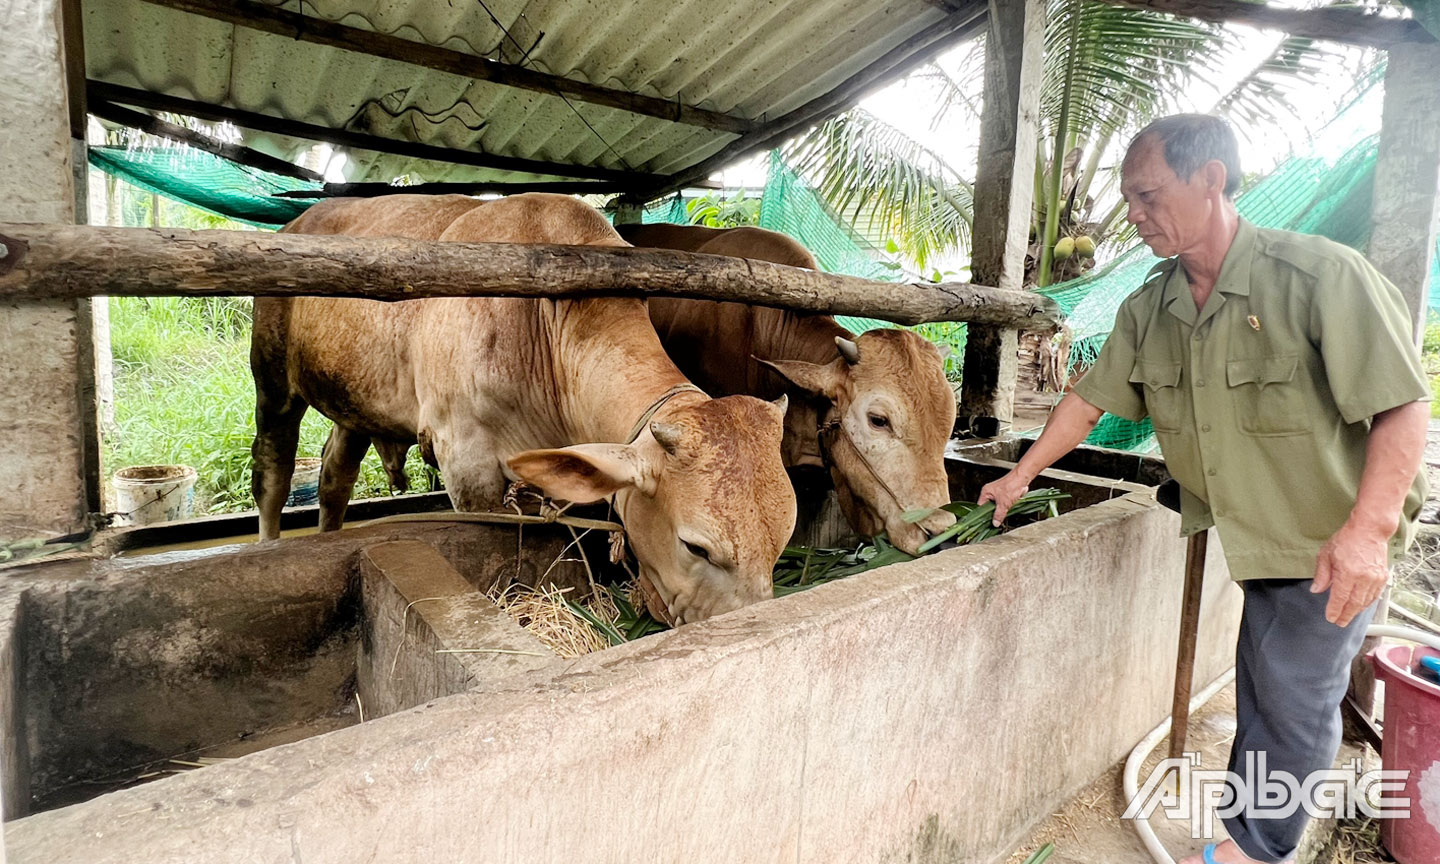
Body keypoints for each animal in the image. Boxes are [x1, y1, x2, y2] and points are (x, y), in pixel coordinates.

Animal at [252, 194, 794, 627]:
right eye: (696, 547)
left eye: (783, 540)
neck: (548, 321)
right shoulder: (465, 458)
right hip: (273, 379)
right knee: (272, 472)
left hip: (354, 403)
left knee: (334, 475)